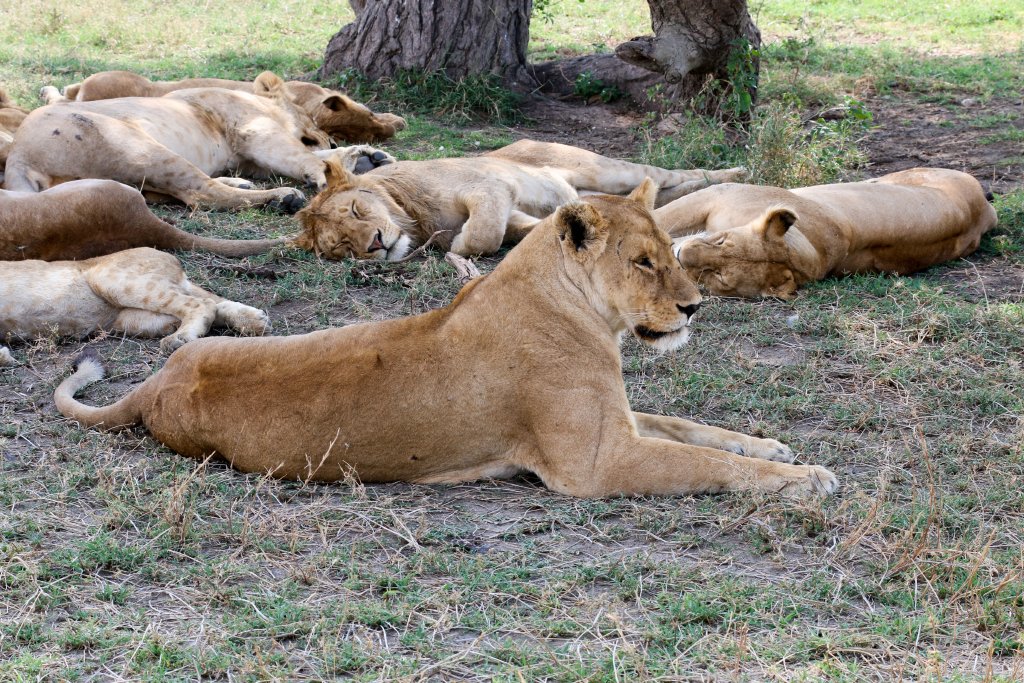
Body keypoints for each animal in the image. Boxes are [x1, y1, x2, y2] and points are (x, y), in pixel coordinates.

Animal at [0, 247, 270, 367]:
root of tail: (171, 258)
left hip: (112, 279)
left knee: (201, 303)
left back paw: (179, 339)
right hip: (135, 318)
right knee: (212, 305)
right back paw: (255, 321)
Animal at [7, 72, 393, 211]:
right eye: (312, 118)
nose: (330, 139)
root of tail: (18, 159)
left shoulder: (249, 157)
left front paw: (368, 156)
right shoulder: (255, 133)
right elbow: (301, 156)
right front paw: (332, 169)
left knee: (186, 190)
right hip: (140, 147)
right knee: (201, 194)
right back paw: (281, 198)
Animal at [55, 180, 837, 498]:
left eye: (672, 251)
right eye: (643, 262)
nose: (695, 307)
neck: (581, 312)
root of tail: (155, 385)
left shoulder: (616, 420)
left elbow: (696, 428)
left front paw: (771, 445)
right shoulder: (595, 464)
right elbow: (705, 463)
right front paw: (806, 478)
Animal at [295, 139, 747, 259]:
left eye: (357, 210)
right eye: (342, 245)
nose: (374, 244)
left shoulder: (489, 188)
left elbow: (482, 235)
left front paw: (460, 245)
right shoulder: (512, 214)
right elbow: (522, 230)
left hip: (606, 169)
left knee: (674, 174)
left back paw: (736, 172)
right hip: (593, 188)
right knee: (667, 191)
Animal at [658, 168, 998, 298]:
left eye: (718, 277)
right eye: (721, 240)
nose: (683, 255)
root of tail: (984, 209)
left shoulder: (718, 193)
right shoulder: (713, 197)